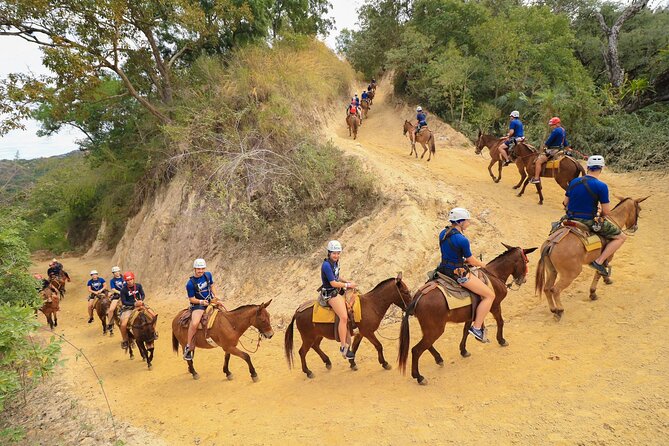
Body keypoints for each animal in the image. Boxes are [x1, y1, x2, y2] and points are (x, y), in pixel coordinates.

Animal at [284, 274, 414, 378]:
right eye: (406, 292)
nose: (411, 310)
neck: (371, 305)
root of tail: (298, 311)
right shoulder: (368, 332)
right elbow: (379, 346)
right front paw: (384, 363)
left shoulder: (360, 333)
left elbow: (355, 348)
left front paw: (352, 363)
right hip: (308, 337)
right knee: (302, 352)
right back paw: (308, 371)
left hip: (318, 335)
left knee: (315, 346)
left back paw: (327, 362)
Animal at [396, 244, 536, 384]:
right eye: (526, 261)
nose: (523, 280)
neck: (494, 275)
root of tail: (418, 297)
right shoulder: (495, 305)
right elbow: (500, 322)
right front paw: (501, 340)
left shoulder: (471, 313)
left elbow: (466, 331)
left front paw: (464, 350)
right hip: (435, 330)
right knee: (416, 350)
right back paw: (419, 377)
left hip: (429, 329)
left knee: (427, 345)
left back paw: (438, 359)